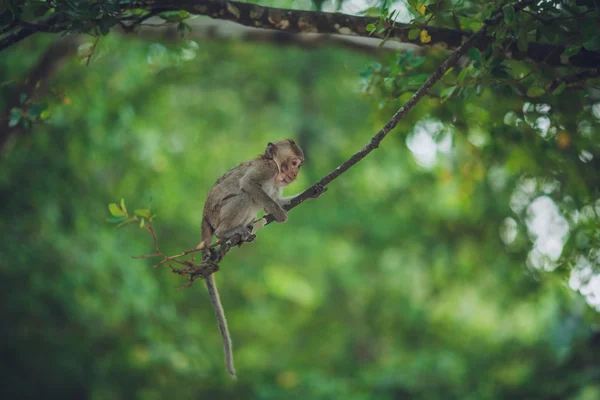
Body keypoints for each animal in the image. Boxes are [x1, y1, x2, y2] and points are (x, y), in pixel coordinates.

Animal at [196, 140, 328, 378]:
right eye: (294, 163)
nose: (295, 174)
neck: (274, 168)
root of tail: (204, 216)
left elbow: (276, 199)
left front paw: (312, 192)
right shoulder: (266, 169)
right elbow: (248, 183)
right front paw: (281, 215)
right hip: (218, 214)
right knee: (248, 196)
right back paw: (226, 233)